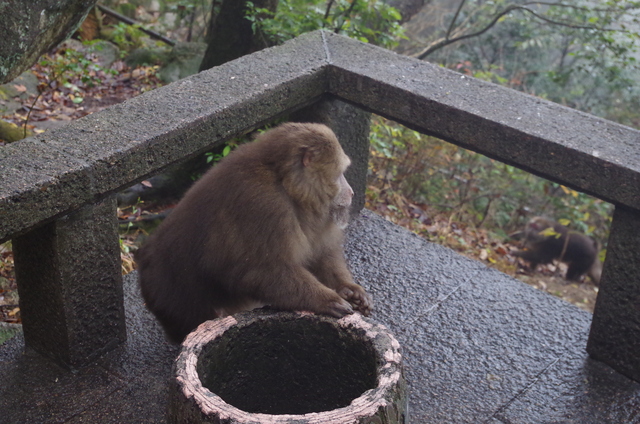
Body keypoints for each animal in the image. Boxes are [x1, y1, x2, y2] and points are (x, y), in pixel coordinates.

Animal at [136, 121, 376, 342]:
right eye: (340, 174)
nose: (351, 192)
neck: (285, 183)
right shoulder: (266, 205)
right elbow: (260, 271)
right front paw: (324, 299)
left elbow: (319, 253)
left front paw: (348, 290)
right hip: (170, 300)